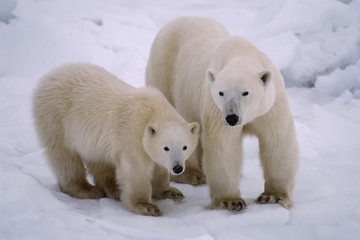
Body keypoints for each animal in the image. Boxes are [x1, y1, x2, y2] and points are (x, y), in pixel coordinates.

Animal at [145, 16, 300, 210]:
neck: (242, 54)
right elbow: (223, 145)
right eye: (221, 92)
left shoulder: (271, 105)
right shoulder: (216, 108)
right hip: (164, 71)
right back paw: (192, 174)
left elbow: (277, 141)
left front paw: (273, 197)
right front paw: (231, 201)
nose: (232, 118)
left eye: (245, 92)